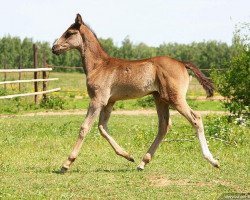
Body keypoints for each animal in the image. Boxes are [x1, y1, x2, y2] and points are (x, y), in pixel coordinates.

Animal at [52, 14, 219, 173]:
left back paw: (212, 160)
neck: (98, 66)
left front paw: (66, 163)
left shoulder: (97, 100)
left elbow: (85, 128)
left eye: (69, 33)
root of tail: (182, 63)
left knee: (195, 118)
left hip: (175, 98)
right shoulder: (109, 102)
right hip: (160, 98)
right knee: (164, 125)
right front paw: (128, 156)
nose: (54, 48)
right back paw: (142, 163)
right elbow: (102, 127)